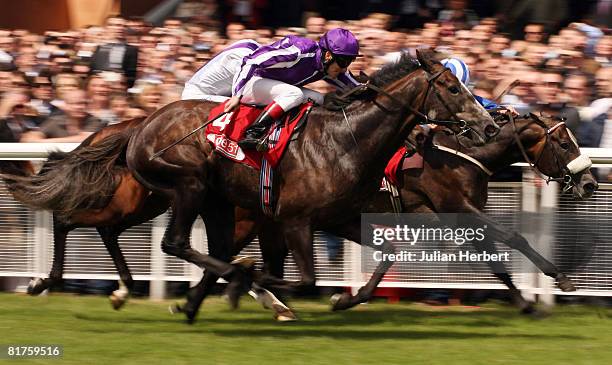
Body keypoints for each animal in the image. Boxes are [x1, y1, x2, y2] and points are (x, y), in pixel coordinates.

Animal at [123, 49, 498, 318]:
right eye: (453, 88)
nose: (490, 125)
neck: (345, 140)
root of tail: (143, 125)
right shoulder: (295, 220)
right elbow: (306, 279)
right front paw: (263, 286)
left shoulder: (339, 218)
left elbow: (389, 251)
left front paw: (344, 300)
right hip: (190, 183)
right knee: (176, 243)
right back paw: (242, 281)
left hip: (217, 201)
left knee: (215, 250)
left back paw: (195, 303)